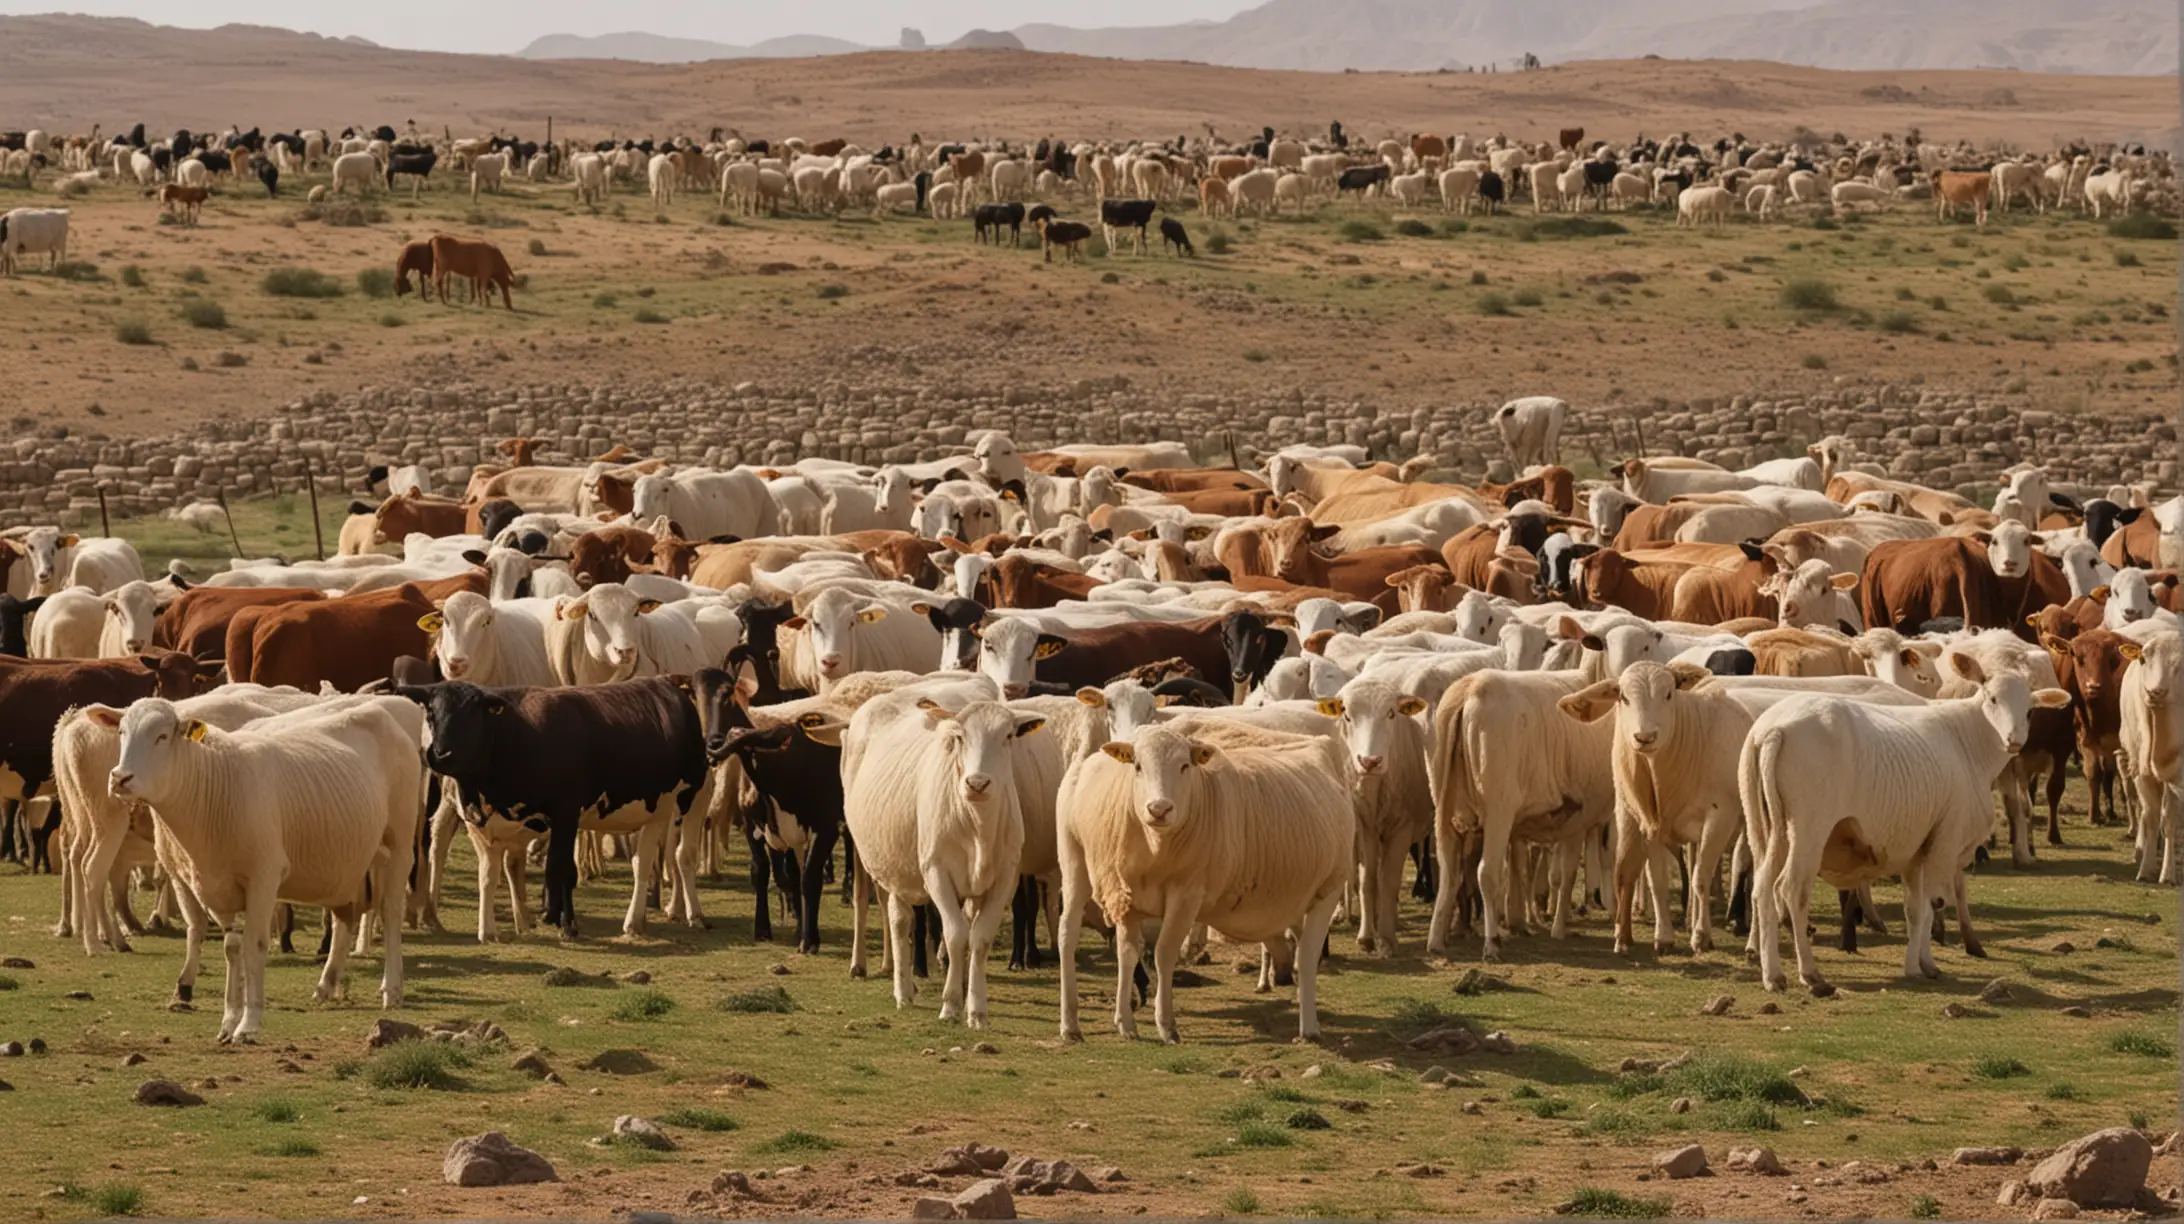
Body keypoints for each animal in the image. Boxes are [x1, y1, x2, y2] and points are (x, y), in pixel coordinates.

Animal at [388, 677, 703, 935]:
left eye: (471, 714)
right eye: (431, 713)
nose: (441, 754)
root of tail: (666, 687)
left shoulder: (566, 814)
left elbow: (558, 867)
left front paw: (558, 919)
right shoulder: (487, 822)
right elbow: (500, 871)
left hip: (678, 806)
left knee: (658, 859)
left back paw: (644, 919)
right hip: (655, 813)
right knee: (643, 860)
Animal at [1052, 725, 1345, 1040]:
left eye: (1184, 766)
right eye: (1138, 766)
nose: (1159, 809)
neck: (1155, 847)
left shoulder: (1184, 895)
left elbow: (1159, 953)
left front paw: (1156, 1024)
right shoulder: (1126, 892)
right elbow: (1131, 954)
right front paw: (1138, 1024)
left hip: (1328, 889)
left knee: (1308, 956)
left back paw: (1309, 1027)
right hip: (1073, 861)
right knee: (1067, 934)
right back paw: (1069, 1024)